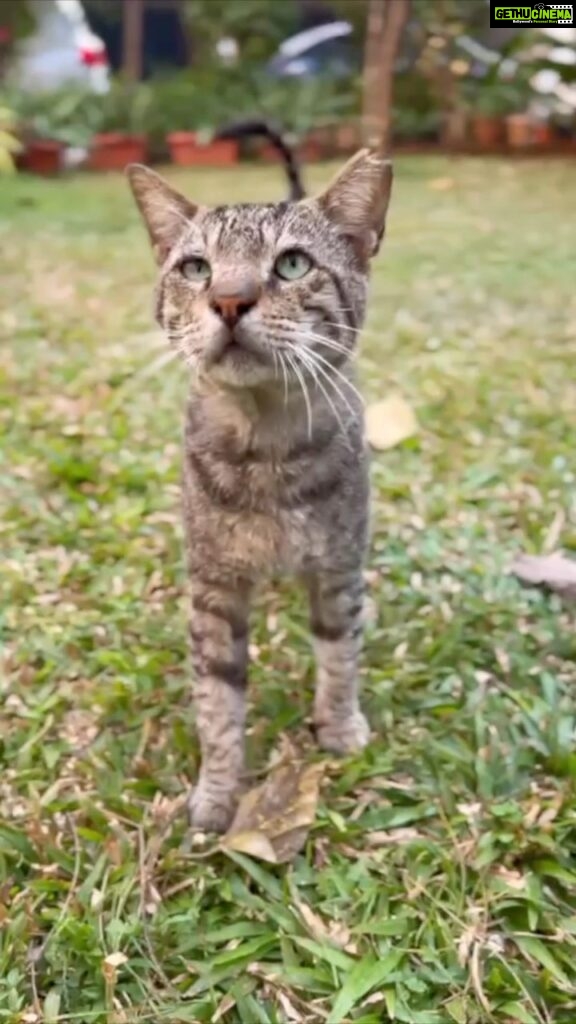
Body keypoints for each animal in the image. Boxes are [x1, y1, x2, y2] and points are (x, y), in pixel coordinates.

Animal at [127, 144, 391, 831]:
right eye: (196, 268)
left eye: (293, 264)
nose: (227, 300)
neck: (267, 448)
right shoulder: (215, 589)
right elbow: (217, 703)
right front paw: (218, 792)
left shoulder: (337, 569)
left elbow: (339, 656)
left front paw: (339, 728)